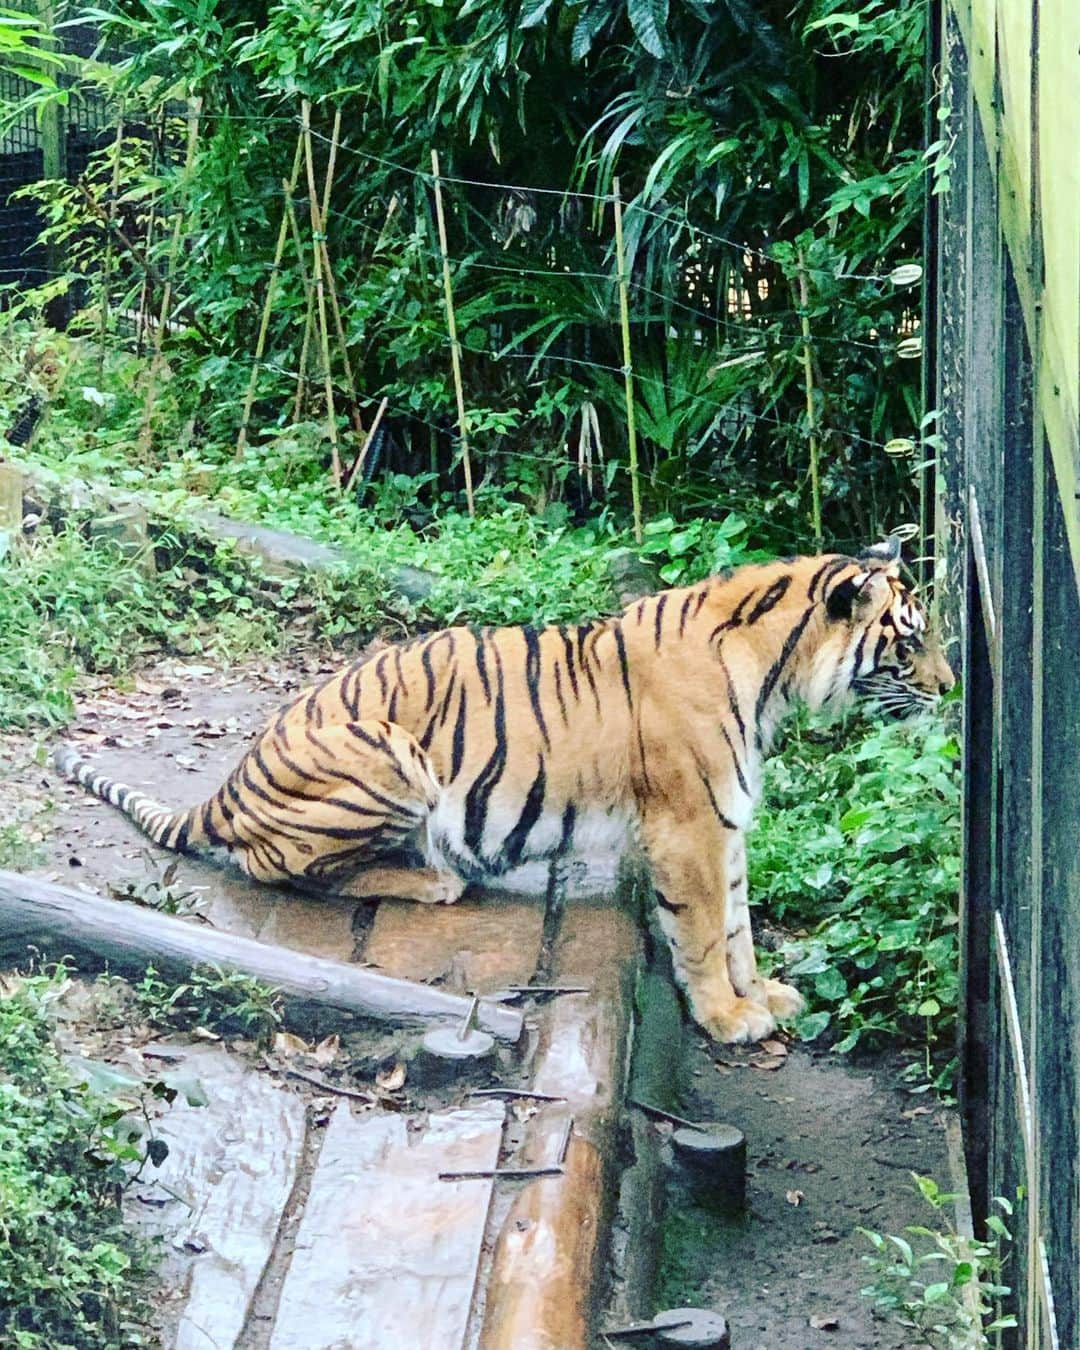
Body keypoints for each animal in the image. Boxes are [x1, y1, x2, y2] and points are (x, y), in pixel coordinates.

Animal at [57, 534, 955, 1042]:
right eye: (910, 643)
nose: (951, 689)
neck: (775, 674)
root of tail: (232, 779)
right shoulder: (690, 824)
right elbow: (703, 931)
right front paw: (729, 1020)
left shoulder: (727, 820)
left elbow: (738, 924)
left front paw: (763, 995)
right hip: (390, 757)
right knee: (279, 865)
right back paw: (436, 879)